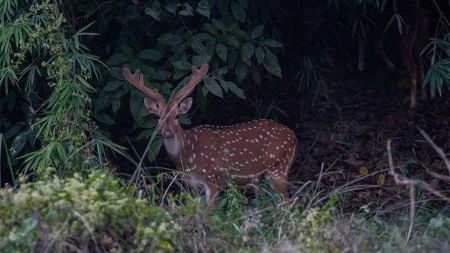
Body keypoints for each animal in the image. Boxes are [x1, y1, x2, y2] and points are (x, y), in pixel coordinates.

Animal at [123, 62, 298, 208]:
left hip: (279, 168)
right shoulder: (193, 186)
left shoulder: (214, 178)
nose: (167, 133)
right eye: (158, 117)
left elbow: (211, 215)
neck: (188, 158)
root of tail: (294, 136)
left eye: (177, 116)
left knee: (289, 205)